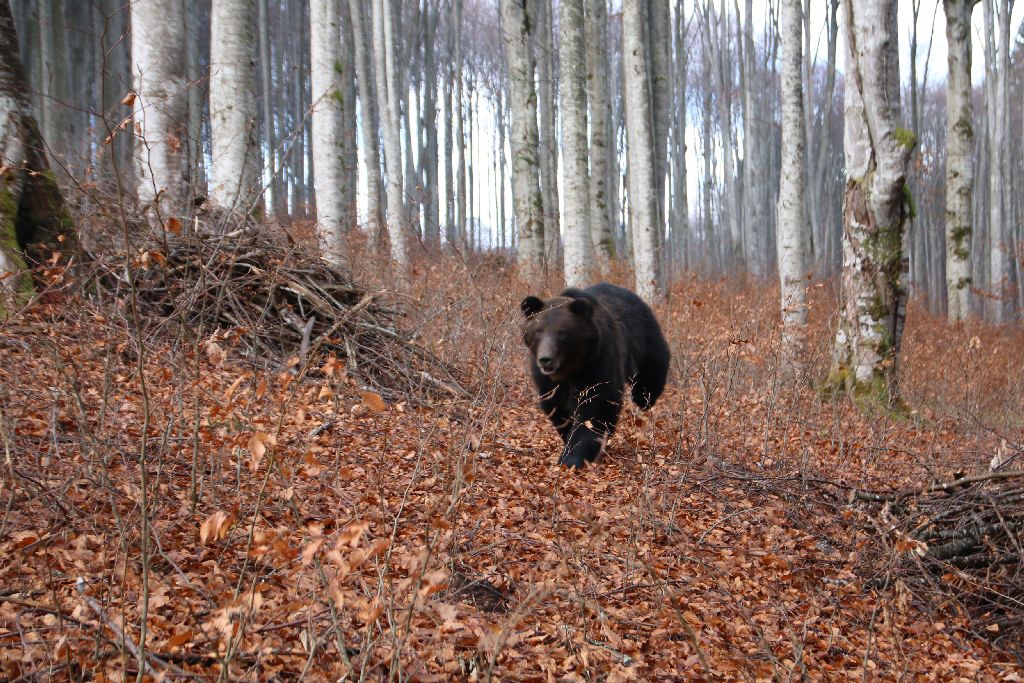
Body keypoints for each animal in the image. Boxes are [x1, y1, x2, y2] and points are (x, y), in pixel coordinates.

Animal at [520, 280, 671, 466]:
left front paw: (574, 457)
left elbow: (597, 404)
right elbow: (556, 405)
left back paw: (644, 400)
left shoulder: (598, 360)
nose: (546, 359)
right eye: (539, 331)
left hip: (643, 338)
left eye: (562, 333)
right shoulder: (547, 380)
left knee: (652, 371)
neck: (569, 368)